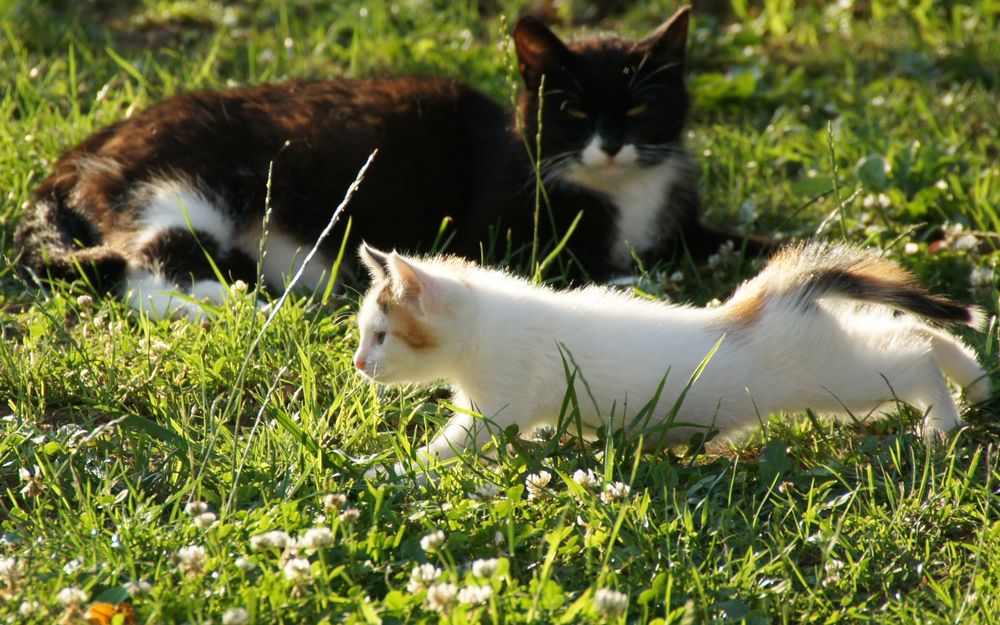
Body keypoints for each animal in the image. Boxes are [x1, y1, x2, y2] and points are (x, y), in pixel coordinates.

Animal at [13, 4, 756, 316]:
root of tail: (86, 147)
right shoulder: (498, 232)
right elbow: (580, 265)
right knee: (145, 269)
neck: (622, 191)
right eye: (571, 112)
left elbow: (725, 240)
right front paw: (641, 284)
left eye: (639, 108)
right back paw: (235, 305)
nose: (610, 142)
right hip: (185, 187)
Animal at [356, 241, 988, 476]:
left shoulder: (498, 407)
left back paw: (941, 423)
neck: (485, 323)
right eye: (364, 335)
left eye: (381, 335)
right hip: (835, 350)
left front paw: (390, 469)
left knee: (911, 355)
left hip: (834, 378)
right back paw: (977, 384)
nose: (360, 365)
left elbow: (453, 444)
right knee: (916, 332)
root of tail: (767, 296)